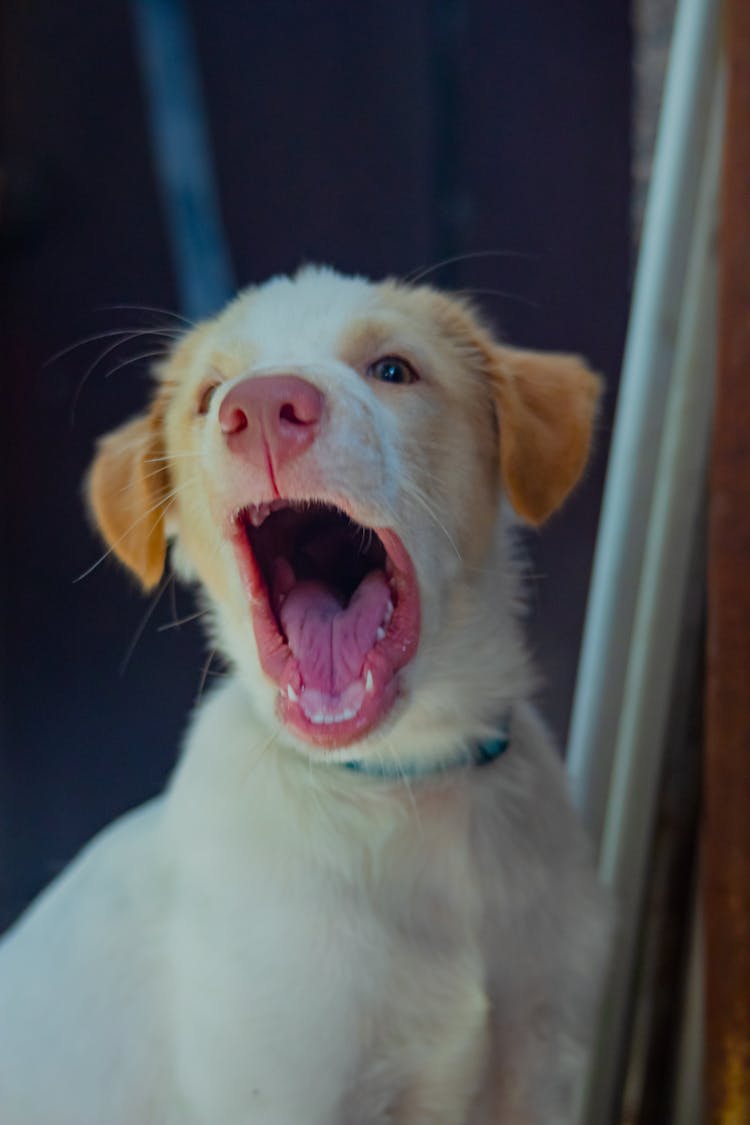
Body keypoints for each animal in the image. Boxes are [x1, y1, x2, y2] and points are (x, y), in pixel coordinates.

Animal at [0, 270, 611, 1125]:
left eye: (392, 369)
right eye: (210, 394)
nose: (260, 407)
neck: (400, 781)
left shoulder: (547, 1066)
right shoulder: (282, 1091)